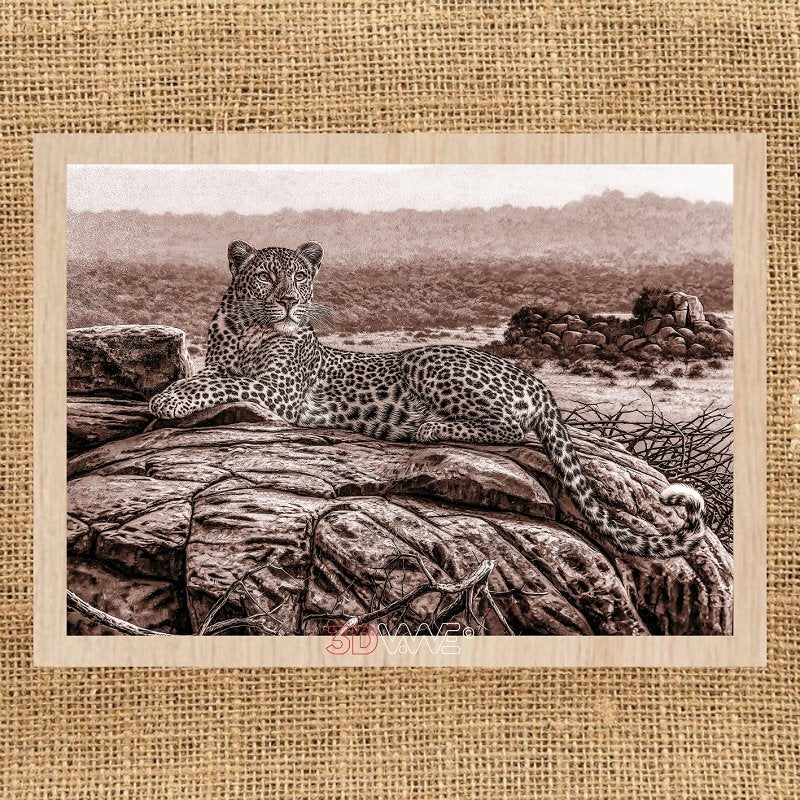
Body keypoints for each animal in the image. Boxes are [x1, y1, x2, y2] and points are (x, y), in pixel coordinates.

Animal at [150, 239, 706, 558]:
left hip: (428, 362)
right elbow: (215, 376)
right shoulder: (233, 367)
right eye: (267, 276)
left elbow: (223, 384)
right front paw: (169, 394)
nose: (289, 301)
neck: (248, 328)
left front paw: (168, 400)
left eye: (301, 277)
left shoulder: (278, 391)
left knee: (510, 426)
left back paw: (430, 426)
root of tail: (537, 381)